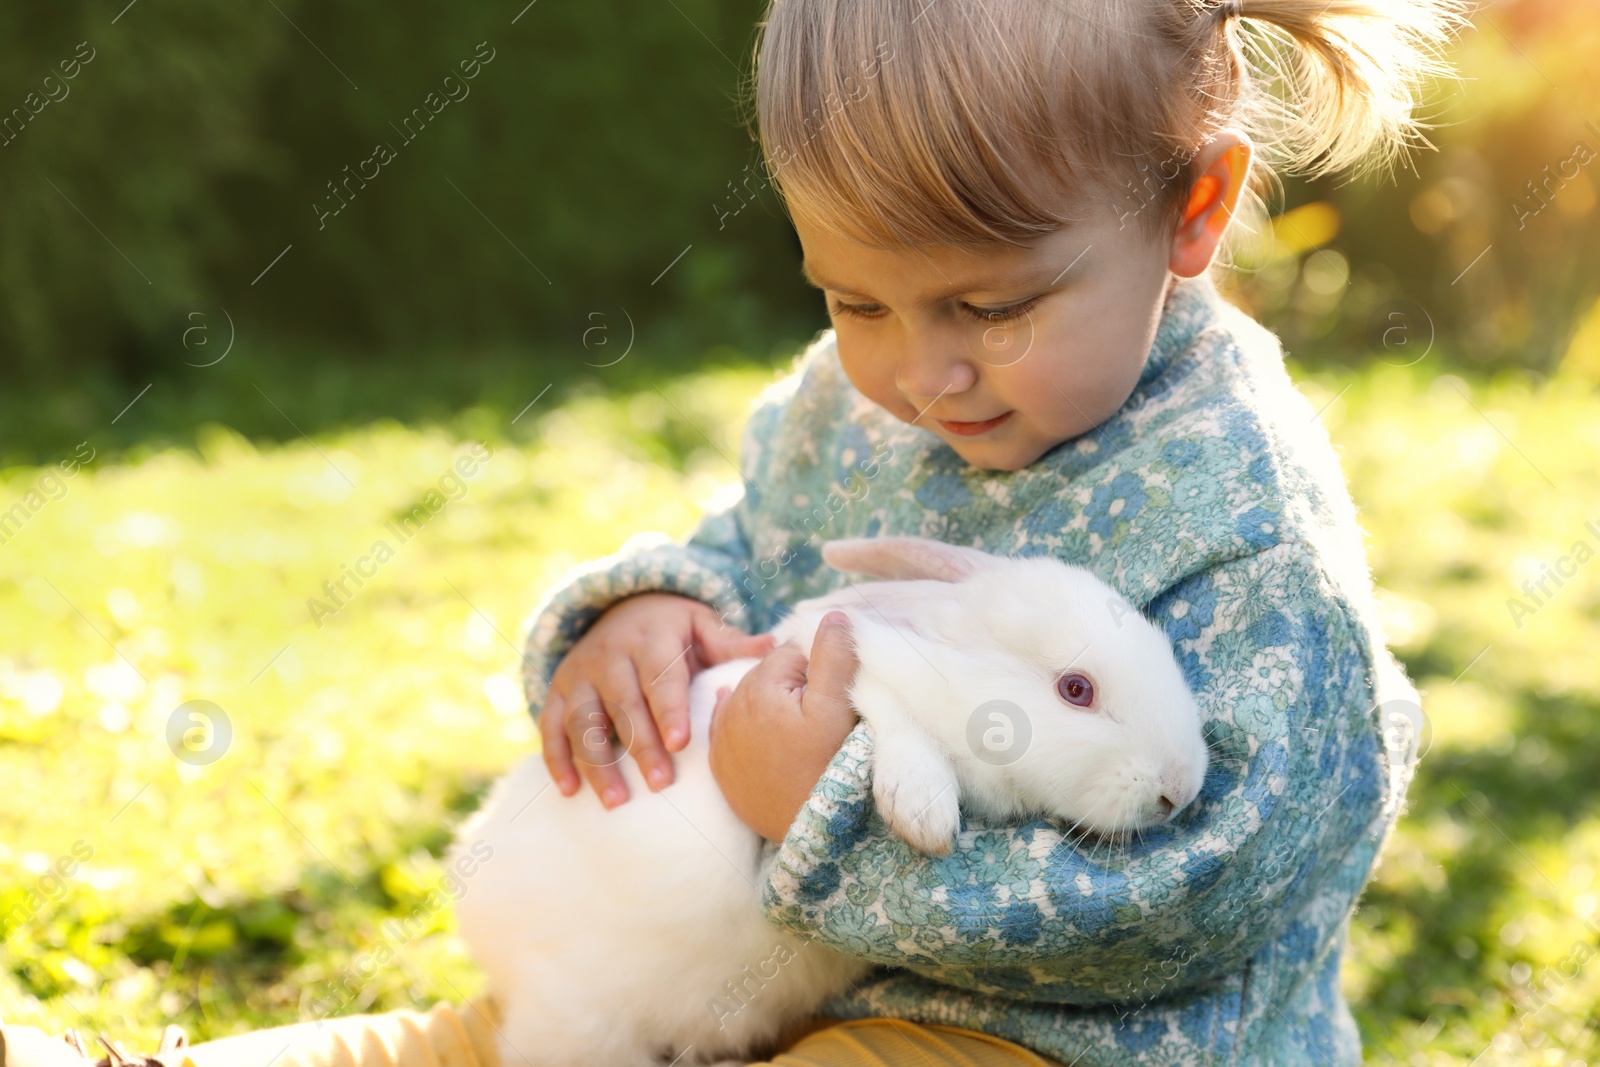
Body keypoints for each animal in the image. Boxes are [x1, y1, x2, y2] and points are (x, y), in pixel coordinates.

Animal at [444, 537, 1203, 1067]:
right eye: (1076, 689)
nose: (1182, 789)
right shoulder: (873, 693)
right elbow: (887, 720)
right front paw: (924, 814)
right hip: (581, 1020)